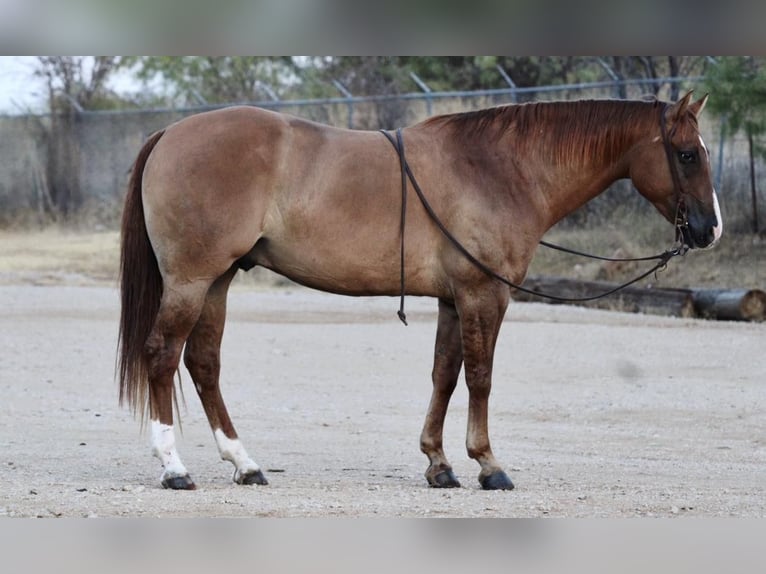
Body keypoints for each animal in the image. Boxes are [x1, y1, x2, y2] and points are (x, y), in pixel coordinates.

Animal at [117, 92, 724, 492]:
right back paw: (175, 468)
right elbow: (480, 377)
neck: (499, 168)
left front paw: (439, 464)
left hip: (217, 281)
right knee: (163, 355)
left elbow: (445, 375)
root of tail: (171, 133)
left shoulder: (454, 299)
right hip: (192, 281)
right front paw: (488, 464)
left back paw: (244, 463)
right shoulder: (485, 295)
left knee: (203, 364)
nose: (710, 229)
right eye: (688, 153)